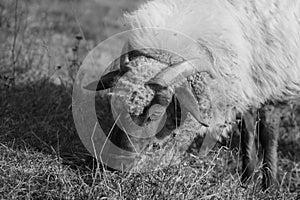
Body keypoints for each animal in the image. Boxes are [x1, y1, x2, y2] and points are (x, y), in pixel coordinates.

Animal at [85, 0, 300, 189]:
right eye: (115, 105)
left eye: (155, 114)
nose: (117, 167)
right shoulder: (249, 85)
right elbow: (247, 136)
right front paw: (247, 182)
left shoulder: (274, 85)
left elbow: (267, 135)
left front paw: (269, 186)